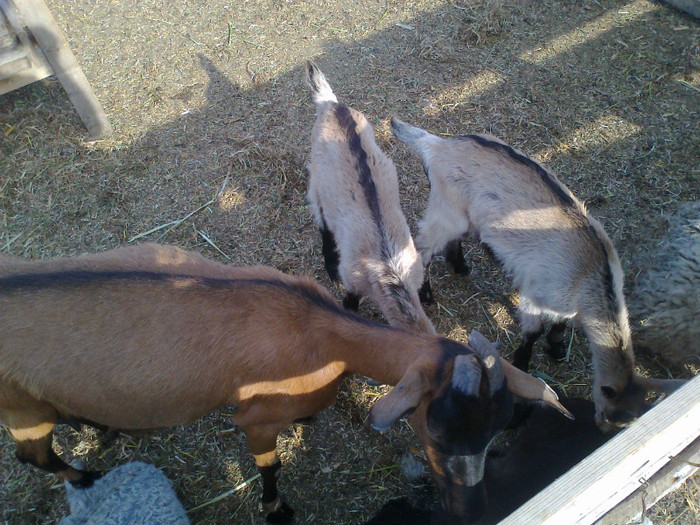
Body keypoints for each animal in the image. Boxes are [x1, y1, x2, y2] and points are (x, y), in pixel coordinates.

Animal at [0, 244, 568, 520]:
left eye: (497, 431)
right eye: (436, 429)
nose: (470, 508)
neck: (320, 329)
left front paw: (310, 419)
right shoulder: (256, 417)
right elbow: (269, 465)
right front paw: (277, 510)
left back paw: (97, 426)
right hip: (22, 410)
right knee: (31, 455)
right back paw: (85, 477)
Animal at [304, 61, 434, 332]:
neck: (391, 271)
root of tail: (331, 105)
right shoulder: (352, 280)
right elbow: (349, 303)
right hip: (317, 182)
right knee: (322, 220)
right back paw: (329, 264)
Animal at [388, 118, 684, 430]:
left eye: (628, 421)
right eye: (609, 412)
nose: (602, 429)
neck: (591, 276)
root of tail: (438, 144)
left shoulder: (565, 303)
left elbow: (559, 325)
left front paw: (556, 349)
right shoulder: (536, 292)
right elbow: (533, 331)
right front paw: (523, 361)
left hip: (464, 212)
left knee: (452, 239)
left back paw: (461, 266)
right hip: (447, 208)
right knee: (423, 247)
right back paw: (426, 293)